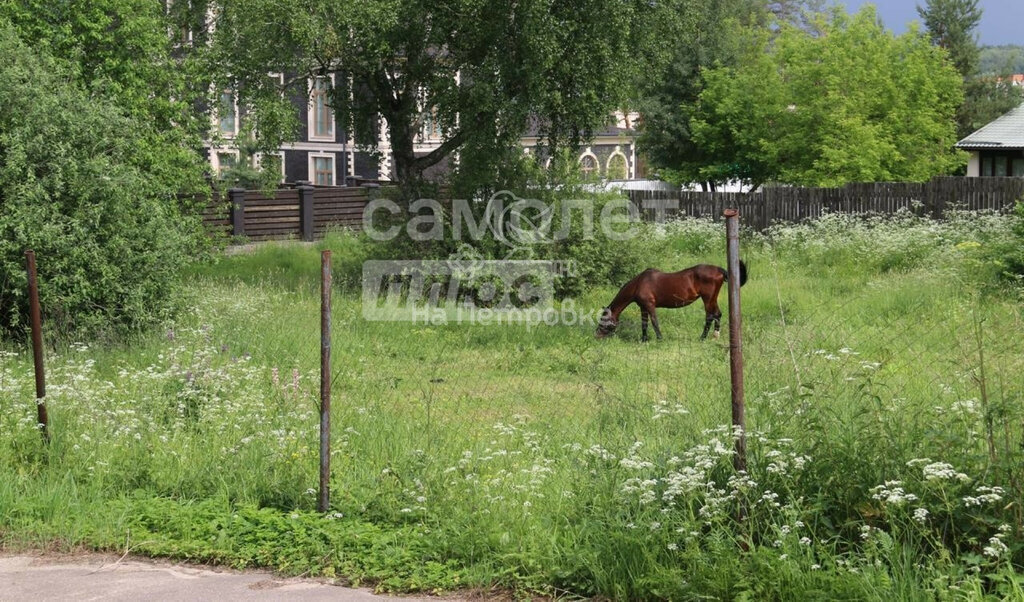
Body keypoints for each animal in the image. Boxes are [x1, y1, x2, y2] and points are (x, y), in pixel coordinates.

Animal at [598, 261, 749, 341]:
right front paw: (644, 339)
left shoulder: (650, 305)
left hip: (707, 299)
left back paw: (703, 337)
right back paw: (714, 335)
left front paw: (659, 339)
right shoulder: (643, 307)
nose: (597, 335)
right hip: (712, 299)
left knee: (711, 316)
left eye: (603, 321)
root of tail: (719, 270)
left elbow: (654, 322)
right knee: (717, 314)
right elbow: (644, 324)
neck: (639, 283)